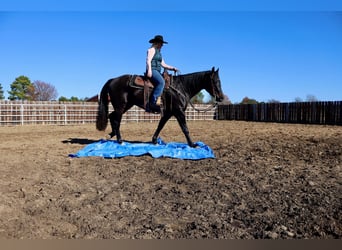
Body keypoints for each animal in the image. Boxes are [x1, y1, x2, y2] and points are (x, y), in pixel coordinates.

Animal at [96, 67, 224, 147]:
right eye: (215, 81)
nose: (221, 97)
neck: (180, 87)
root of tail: (113, 80)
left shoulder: (168, 113)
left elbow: (160, 126)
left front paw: (154, 141)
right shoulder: (179, 112)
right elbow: (185, 128)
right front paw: (192, 144)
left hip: (126, 105)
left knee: (111, 116)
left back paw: (111, 135)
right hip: (121, 106)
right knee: (116, 120)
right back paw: (120, 140)